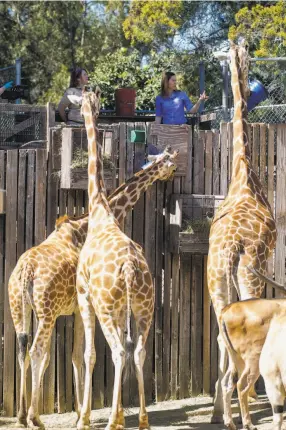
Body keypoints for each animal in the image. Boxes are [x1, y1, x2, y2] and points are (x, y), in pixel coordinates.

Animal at [8, 134, 178, 426]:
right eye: (172, 164)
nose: (171, 179)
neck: (86, 225)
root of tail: (26, 270)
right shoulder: (79, 307)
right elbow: (80, 356)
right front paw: (82, 413)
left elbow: (73, 356)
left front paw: (85, 412)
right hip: (47, 312)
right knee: (37, 352)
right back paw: (35, 417)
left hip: (20, 309)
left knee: (23, 350)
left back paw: (21, 415)